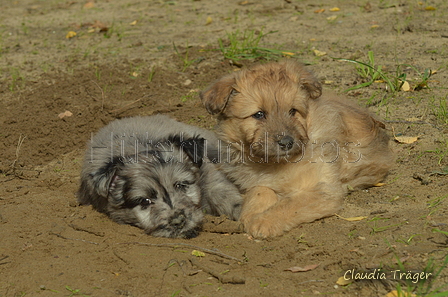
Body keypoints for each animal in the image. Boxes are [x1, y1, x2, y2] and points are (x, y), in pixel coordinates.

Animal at [201, 59, 394, 236]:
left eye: (293, 111)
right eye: (259, 114)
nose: (287, 142)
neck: (273, 164)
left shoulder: (323, 189)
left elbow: (290, 204)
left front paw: (263, 222)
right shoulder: (257, 181)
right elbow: (258, 191)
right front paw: (250, 215)